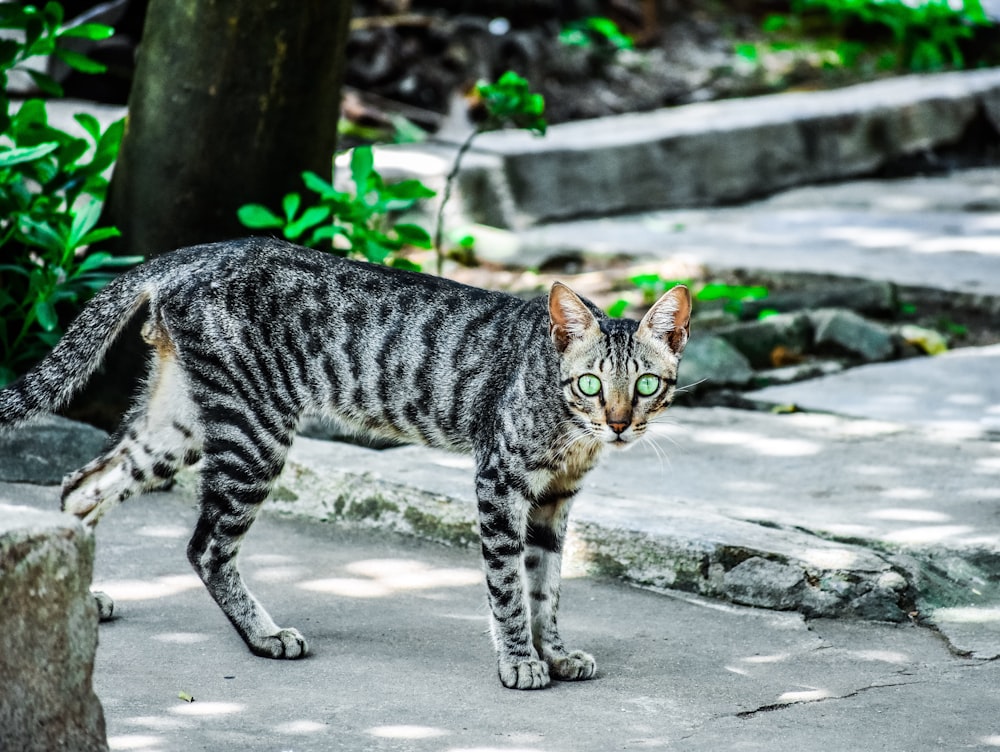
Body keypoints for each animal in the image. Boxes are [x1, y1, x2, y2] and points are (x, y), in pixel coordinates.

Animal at [0, 238, 688, 692]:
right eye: (592, 384)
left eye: (646, 384)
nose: (620, 423)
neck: (572, 432)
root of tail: (194, 251)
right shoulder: (501, 482)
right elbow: (509, 587)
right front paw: (520, 660)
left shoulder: (554, 500)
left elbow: (547, 586)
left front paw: (556, 651)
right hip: (254, 434)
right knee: (205, 547)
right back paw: (264, 635)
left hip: (178, 427)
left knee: (81, 485)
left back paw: (80, 596)